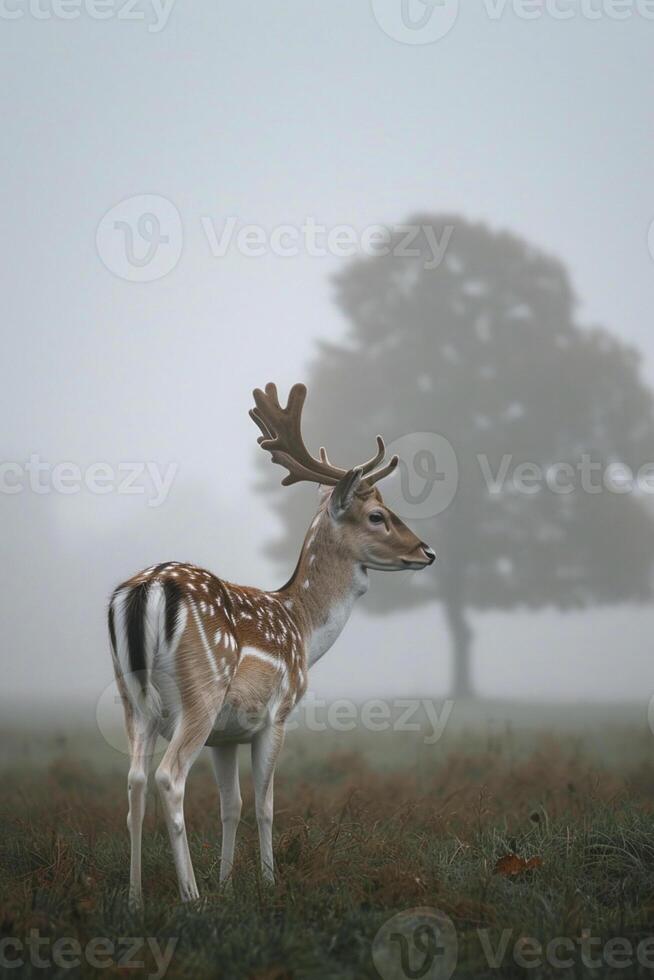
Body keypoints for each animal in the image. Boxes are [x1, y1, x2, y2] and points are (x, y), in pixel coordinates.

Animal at [107, 380, 436, 904]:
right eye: (377, 516)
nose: (426, 551)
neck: (302, 628)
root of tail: (147, 587)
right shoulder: (275, 714)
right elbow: (265, 803)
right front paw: (267, 882)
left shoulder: (226, 734)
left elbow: (232, 804)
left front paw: (227, 883)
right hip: (199, 694)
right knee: (168, 778)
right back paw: (190, 897)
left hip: (131, 697)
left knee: (134, 780)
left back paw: (137, 899)